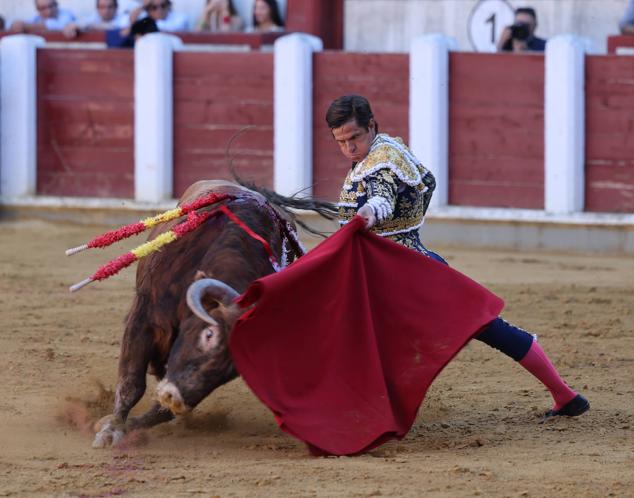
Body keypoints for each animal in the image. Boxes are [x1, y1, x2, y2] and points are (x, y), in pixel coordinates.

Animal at [92, 180, 336, 448]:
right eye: (209, 334)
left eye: (234, 370)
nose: (174, 397)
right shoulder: (143, 316)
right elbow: (131, 383)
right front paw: (111, 430)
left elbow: (162, 409)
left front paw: (132, 426)